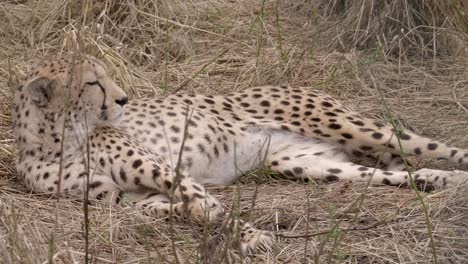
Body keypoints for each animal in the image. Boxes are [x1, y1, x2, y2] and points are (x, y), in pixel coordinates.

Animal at [12, 54, 466, 254]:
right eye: (92, 83)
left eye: (103, 76)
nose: (123, 99)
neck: (59, 140)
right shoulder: (120, 199)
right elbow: (179, 209)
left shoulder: (165, 170)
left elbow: (207, 204)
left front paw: (252, 237)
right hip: (308, 165)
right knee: (392, 174)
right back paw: (439, 180)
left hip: (351, 126)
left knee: (436, 147)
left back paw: (457, 173)